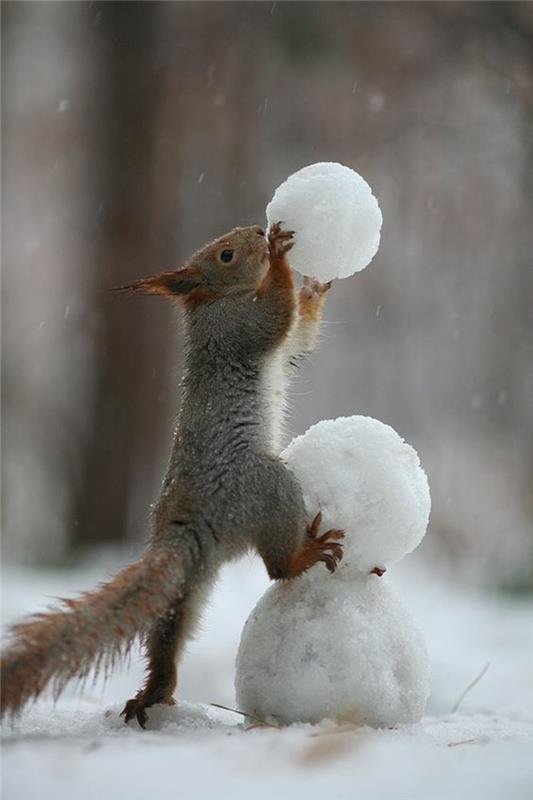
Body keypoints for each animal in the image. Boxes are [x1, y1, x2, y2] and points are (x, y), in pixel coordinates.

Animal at [0, 222, 342, 728]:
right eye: (225, 254)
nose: (257, 230)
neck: (212, 301)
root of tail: (190, 526)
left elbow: (300, 334)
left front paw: (315, 286)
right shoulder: (238, 328)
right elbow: (278, 316)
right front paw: (281, 257)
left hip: (187, 588)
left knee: (169, 634)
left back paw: (151, 694)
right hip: (268, 485)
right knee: (278, 569)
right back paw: (307, 553)